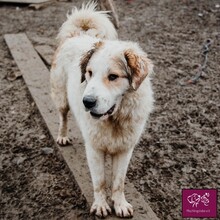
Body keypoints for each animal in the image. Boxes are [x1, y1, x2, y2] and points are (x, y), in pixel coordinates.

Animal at [50, 2, 153, 218]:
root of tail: (76, 35)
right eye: (89, 73)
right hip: (61, 97)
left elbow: (118, 182)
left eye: (113, 76)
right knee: (63, 116)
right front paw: (100, 205)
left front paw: (120, 204)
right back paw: (62, 136)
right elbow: (100, 181)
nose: (86, 102)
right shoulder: (94, 149)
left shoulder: (125, 149)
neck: (114, 119)